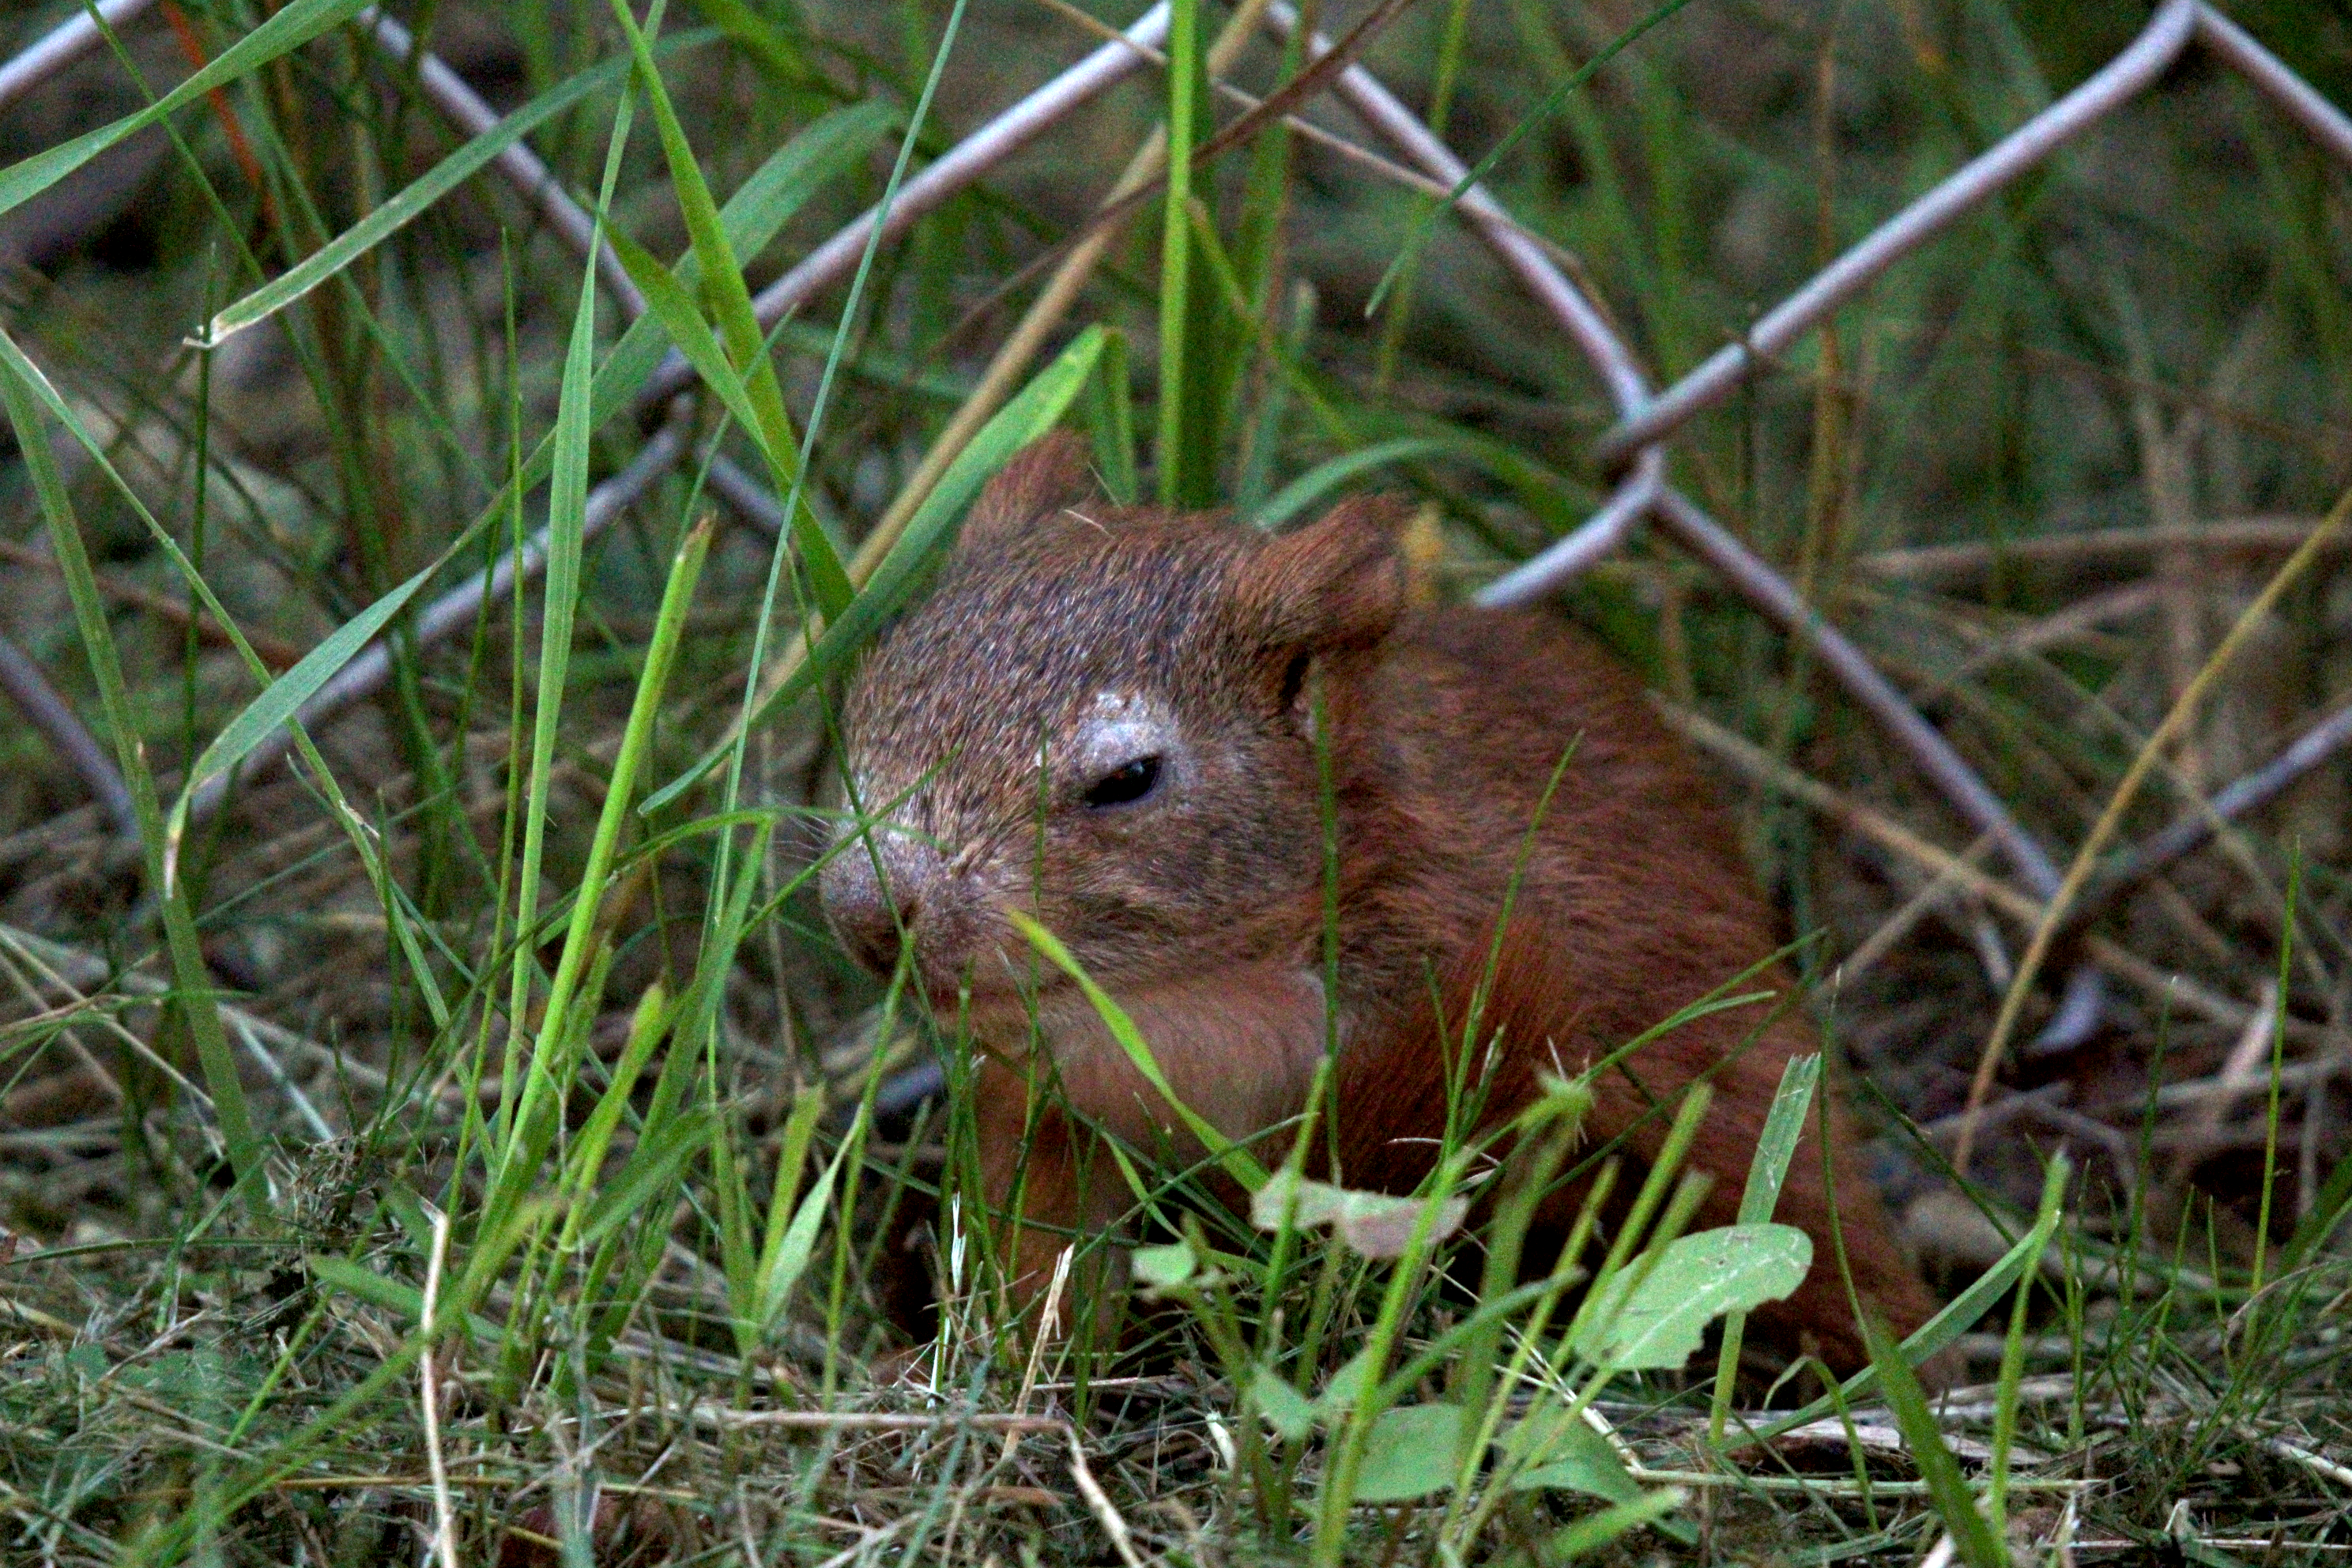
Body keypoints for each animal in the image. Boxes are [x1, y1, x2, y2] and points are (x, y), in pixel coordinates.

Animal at [818, 430, 1938, 1373]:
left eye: (1128, 779)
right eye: (870, 695)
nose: (865, 913)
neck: (1188, 991)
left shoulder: (1468, 996)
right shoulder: (1053, 1097)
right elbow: (1039, 1244)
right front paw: (1023, 1365)